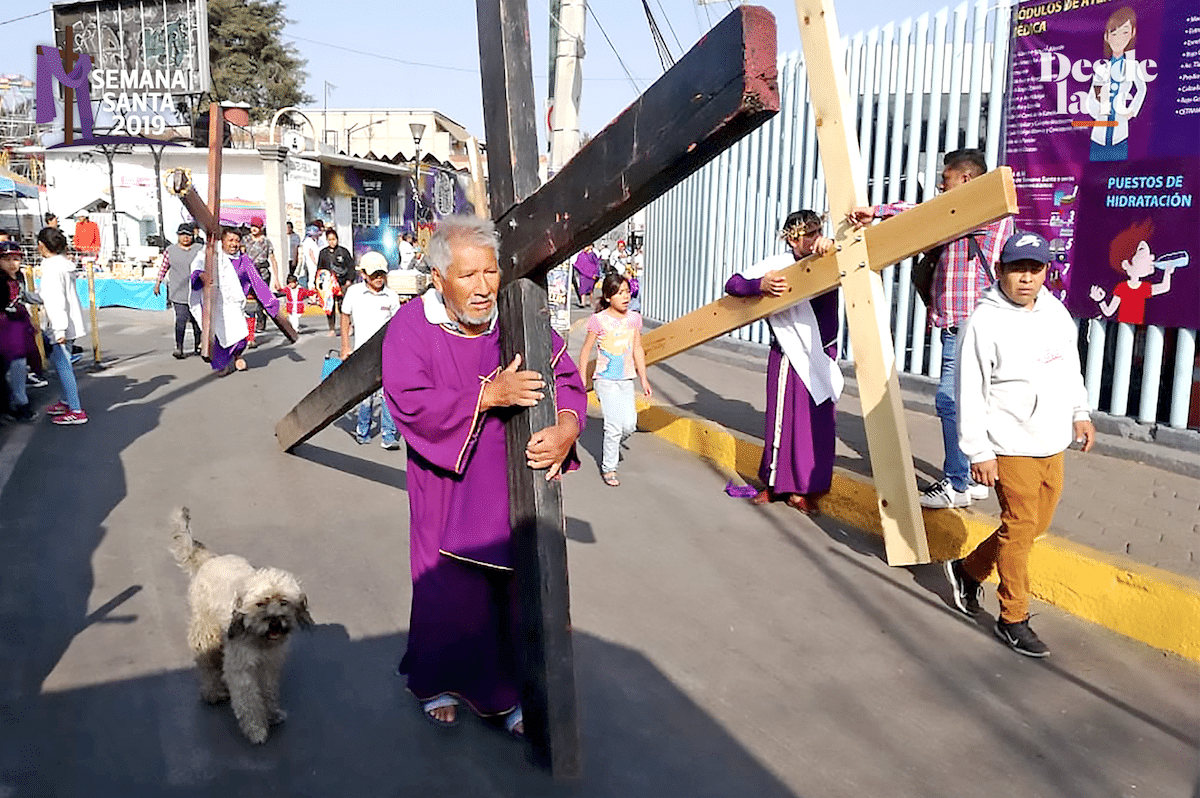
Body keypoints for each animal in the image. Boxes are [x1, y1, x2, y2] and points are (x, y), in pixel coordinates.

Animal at [168, 506, 314, 744]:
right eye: (260, 603)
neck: (258, 639)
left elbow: (268, 692)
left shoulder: (269, 665)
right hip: (207, 630)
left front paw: (272, 714)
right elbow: (249, 701)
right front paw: (256, 730)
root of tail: (211, 559)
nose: (275, 621)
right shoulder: (242, 669)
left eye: (284, 601)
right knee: (207, 664)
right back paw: (213, 692)